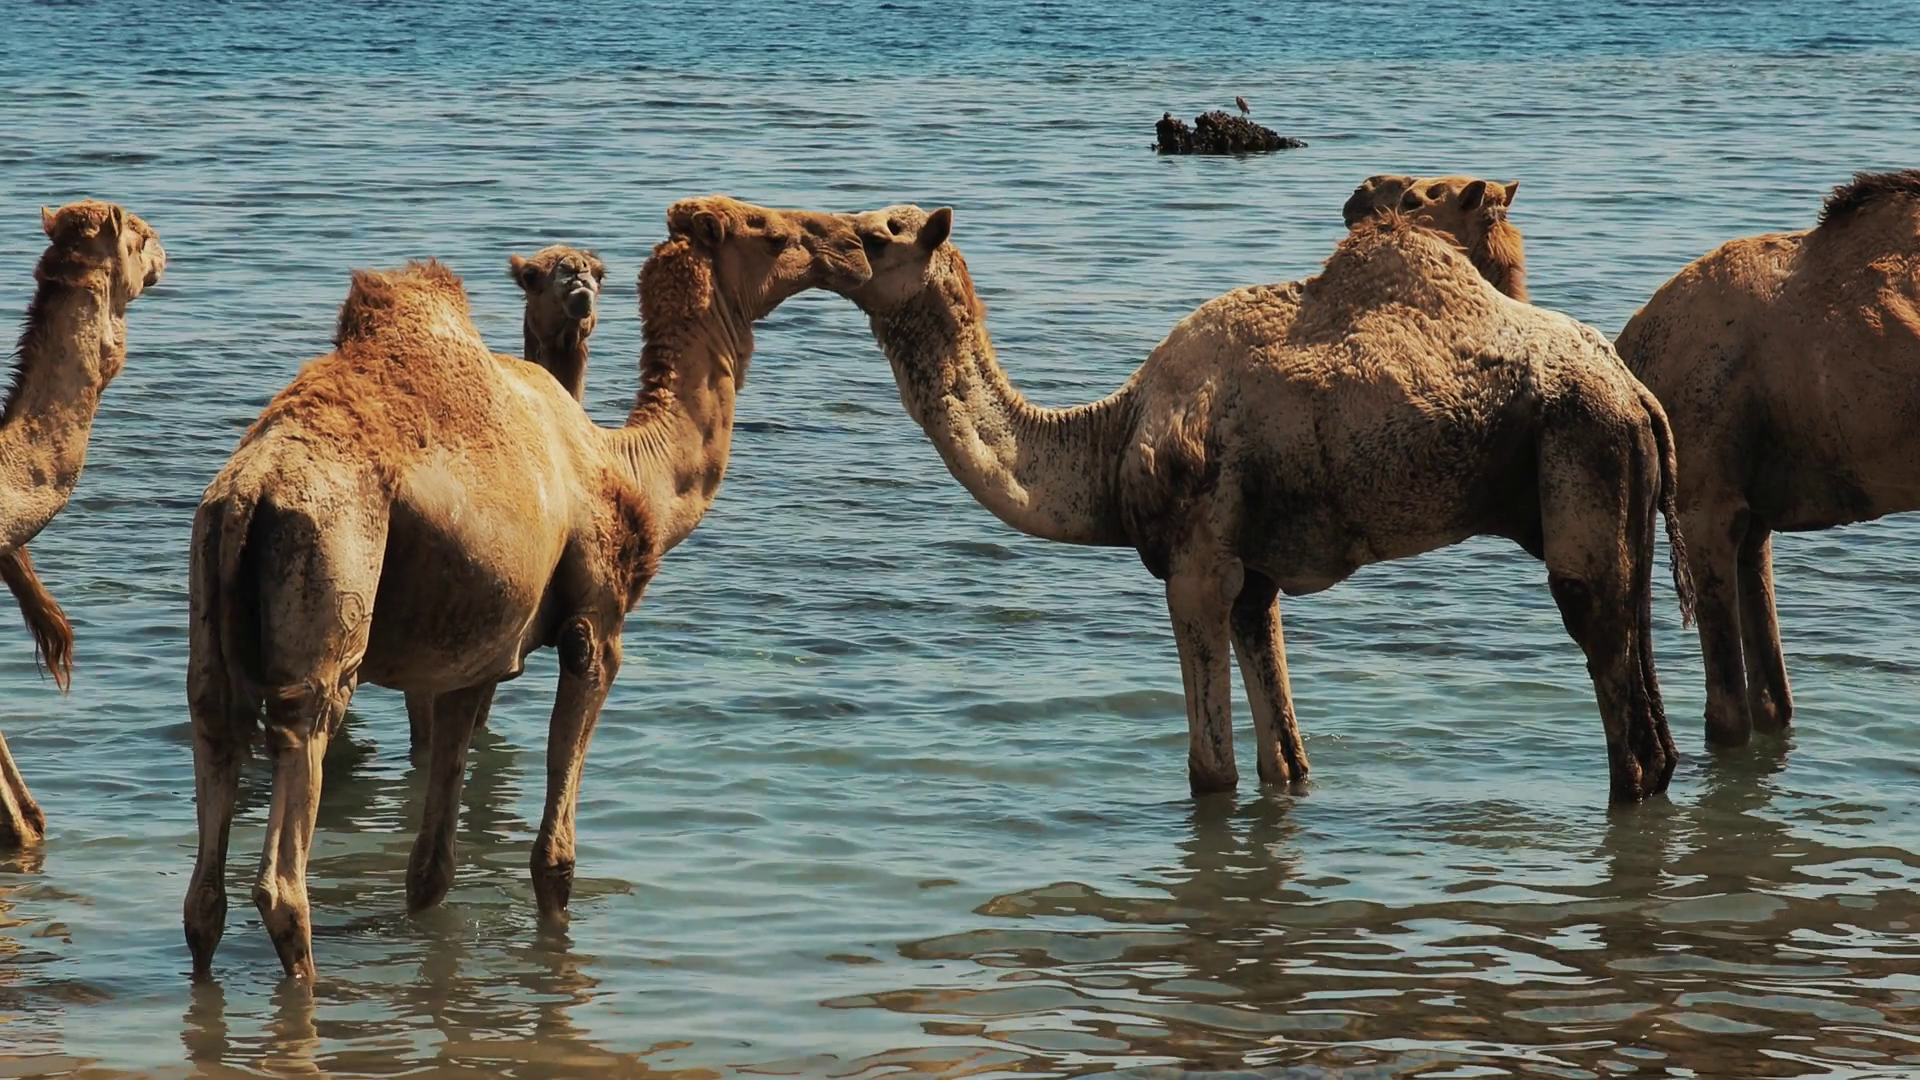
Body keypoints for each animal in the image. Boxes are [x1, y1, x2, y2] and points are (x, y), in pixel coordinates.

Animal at [832, 204, 1693, 804]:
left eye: (878, 236)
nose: (822, 239)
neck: (1110, 443)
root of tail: (1640, 395)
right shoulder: (1257, 580)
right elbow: (1285, 759)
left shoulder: (1197, 563)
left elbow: (1210, 770)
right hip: (1625, 494)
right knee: (1645, 675)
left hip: (1582, 452)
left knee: (1604, 657)